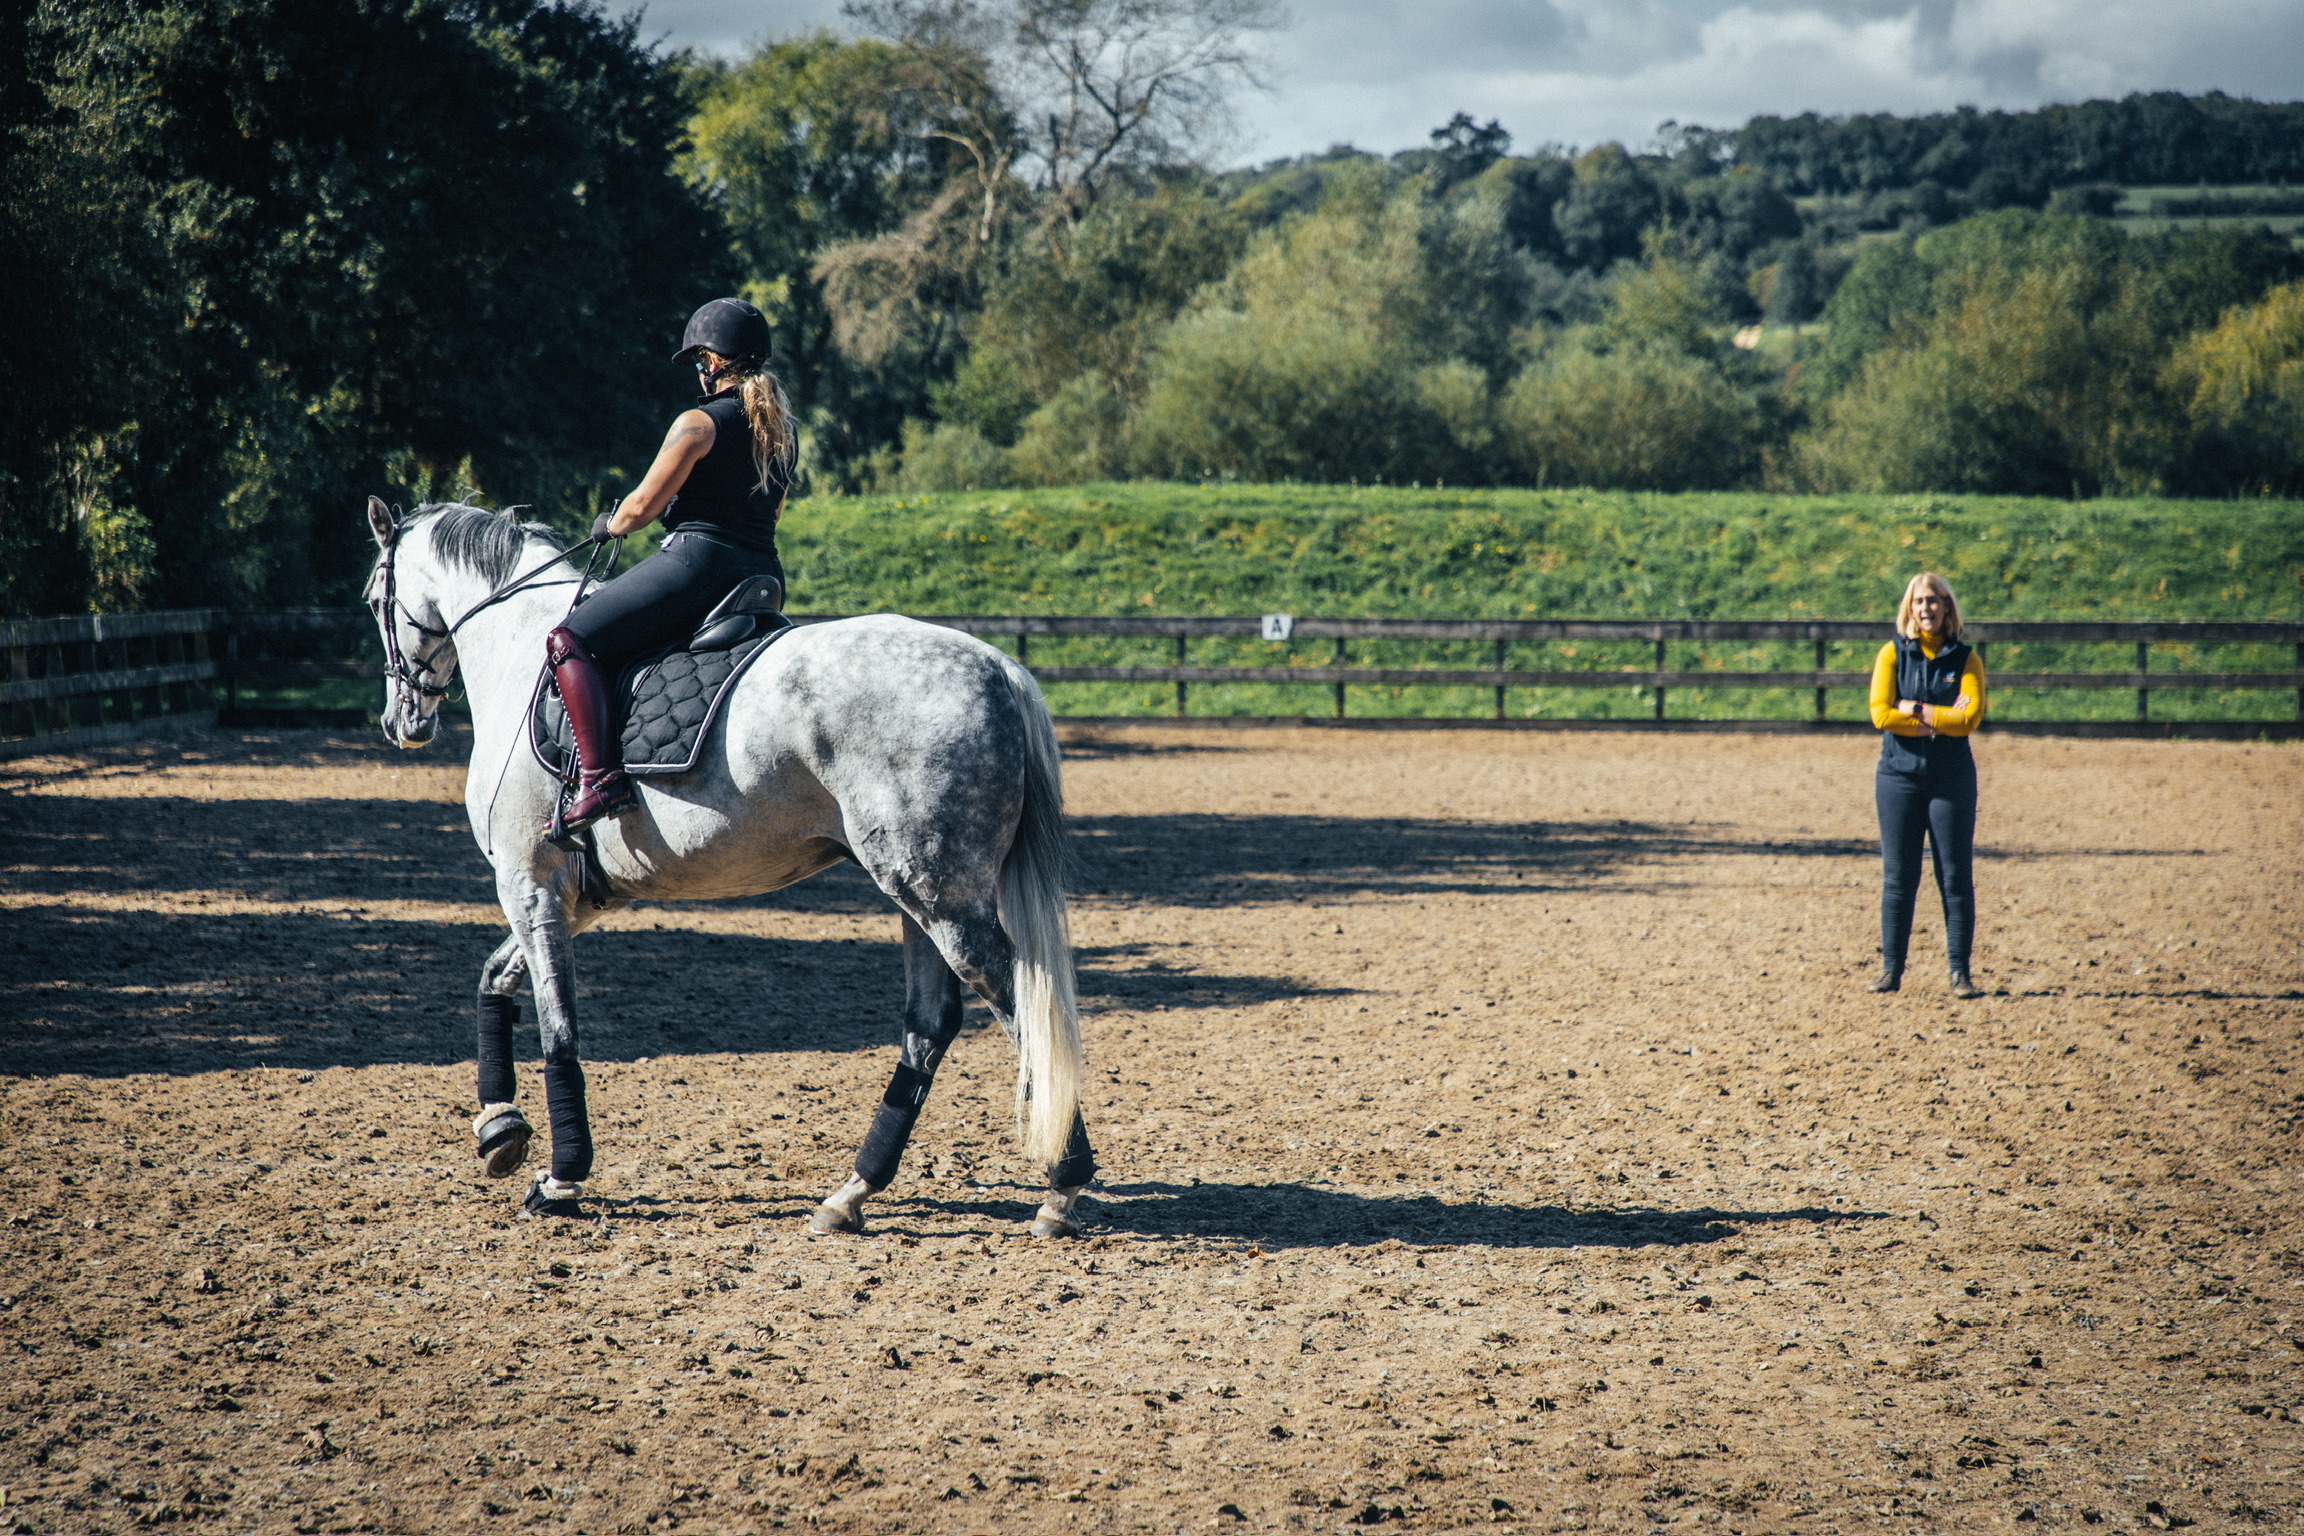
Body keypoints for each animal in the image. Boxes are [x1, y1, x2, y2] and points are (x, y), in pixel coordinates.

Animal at [361, 504, 1096, 1234]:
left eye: (374, 599)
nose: (401, 721)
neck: (516, 648)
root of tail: (998, 666)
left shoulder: (529, 882)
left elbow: (558, 1025)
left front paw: (561, 1178)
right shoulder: (581, 896)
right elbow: (496, 976)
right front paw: (499, 1127)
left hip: (938, 896)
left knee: (1018, 1004)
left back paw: (1062, 1188)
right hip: (919, 893)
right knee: (930, 1024)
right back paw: (851, 1194)